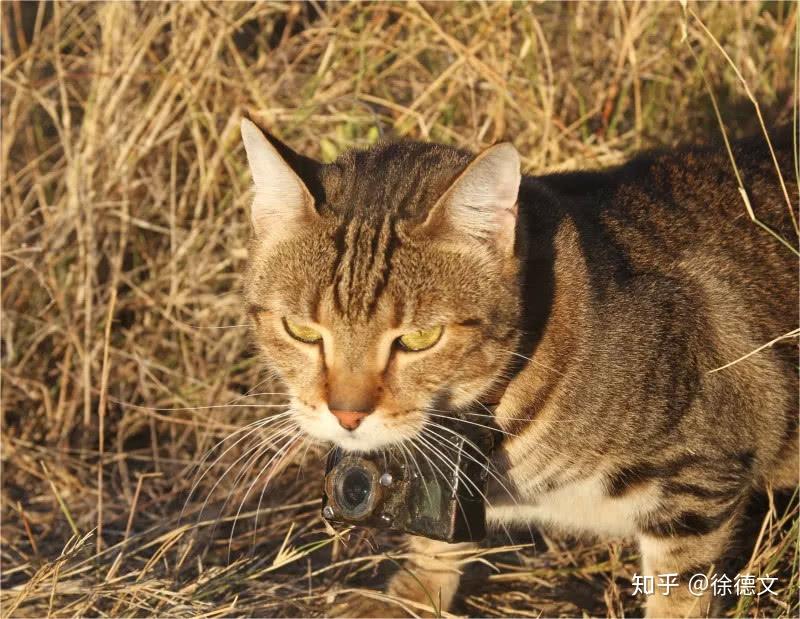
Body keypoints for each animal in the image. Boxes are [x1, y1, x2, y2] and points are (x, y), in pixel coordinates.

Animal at [239, 115, 800, 616]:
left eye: (420, 338)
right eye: (302, 331)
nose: (347, 415)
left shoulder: (702, 476)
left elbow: (679, 593)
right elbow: (435, 538)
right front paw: (413, 594)